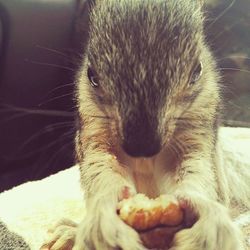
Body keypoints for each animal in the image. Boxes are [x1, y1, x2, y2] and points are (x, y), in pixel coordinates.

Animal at [42, 0, 249, 250]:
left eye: (197, 71)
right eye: (92, 76)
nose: (142, 148)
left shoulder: (197, 131)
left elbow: (195, 172)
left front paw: (208, 222)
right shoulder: (94, 130)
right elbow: (102, 168)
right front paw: (103, 220)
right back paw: (68, 232)